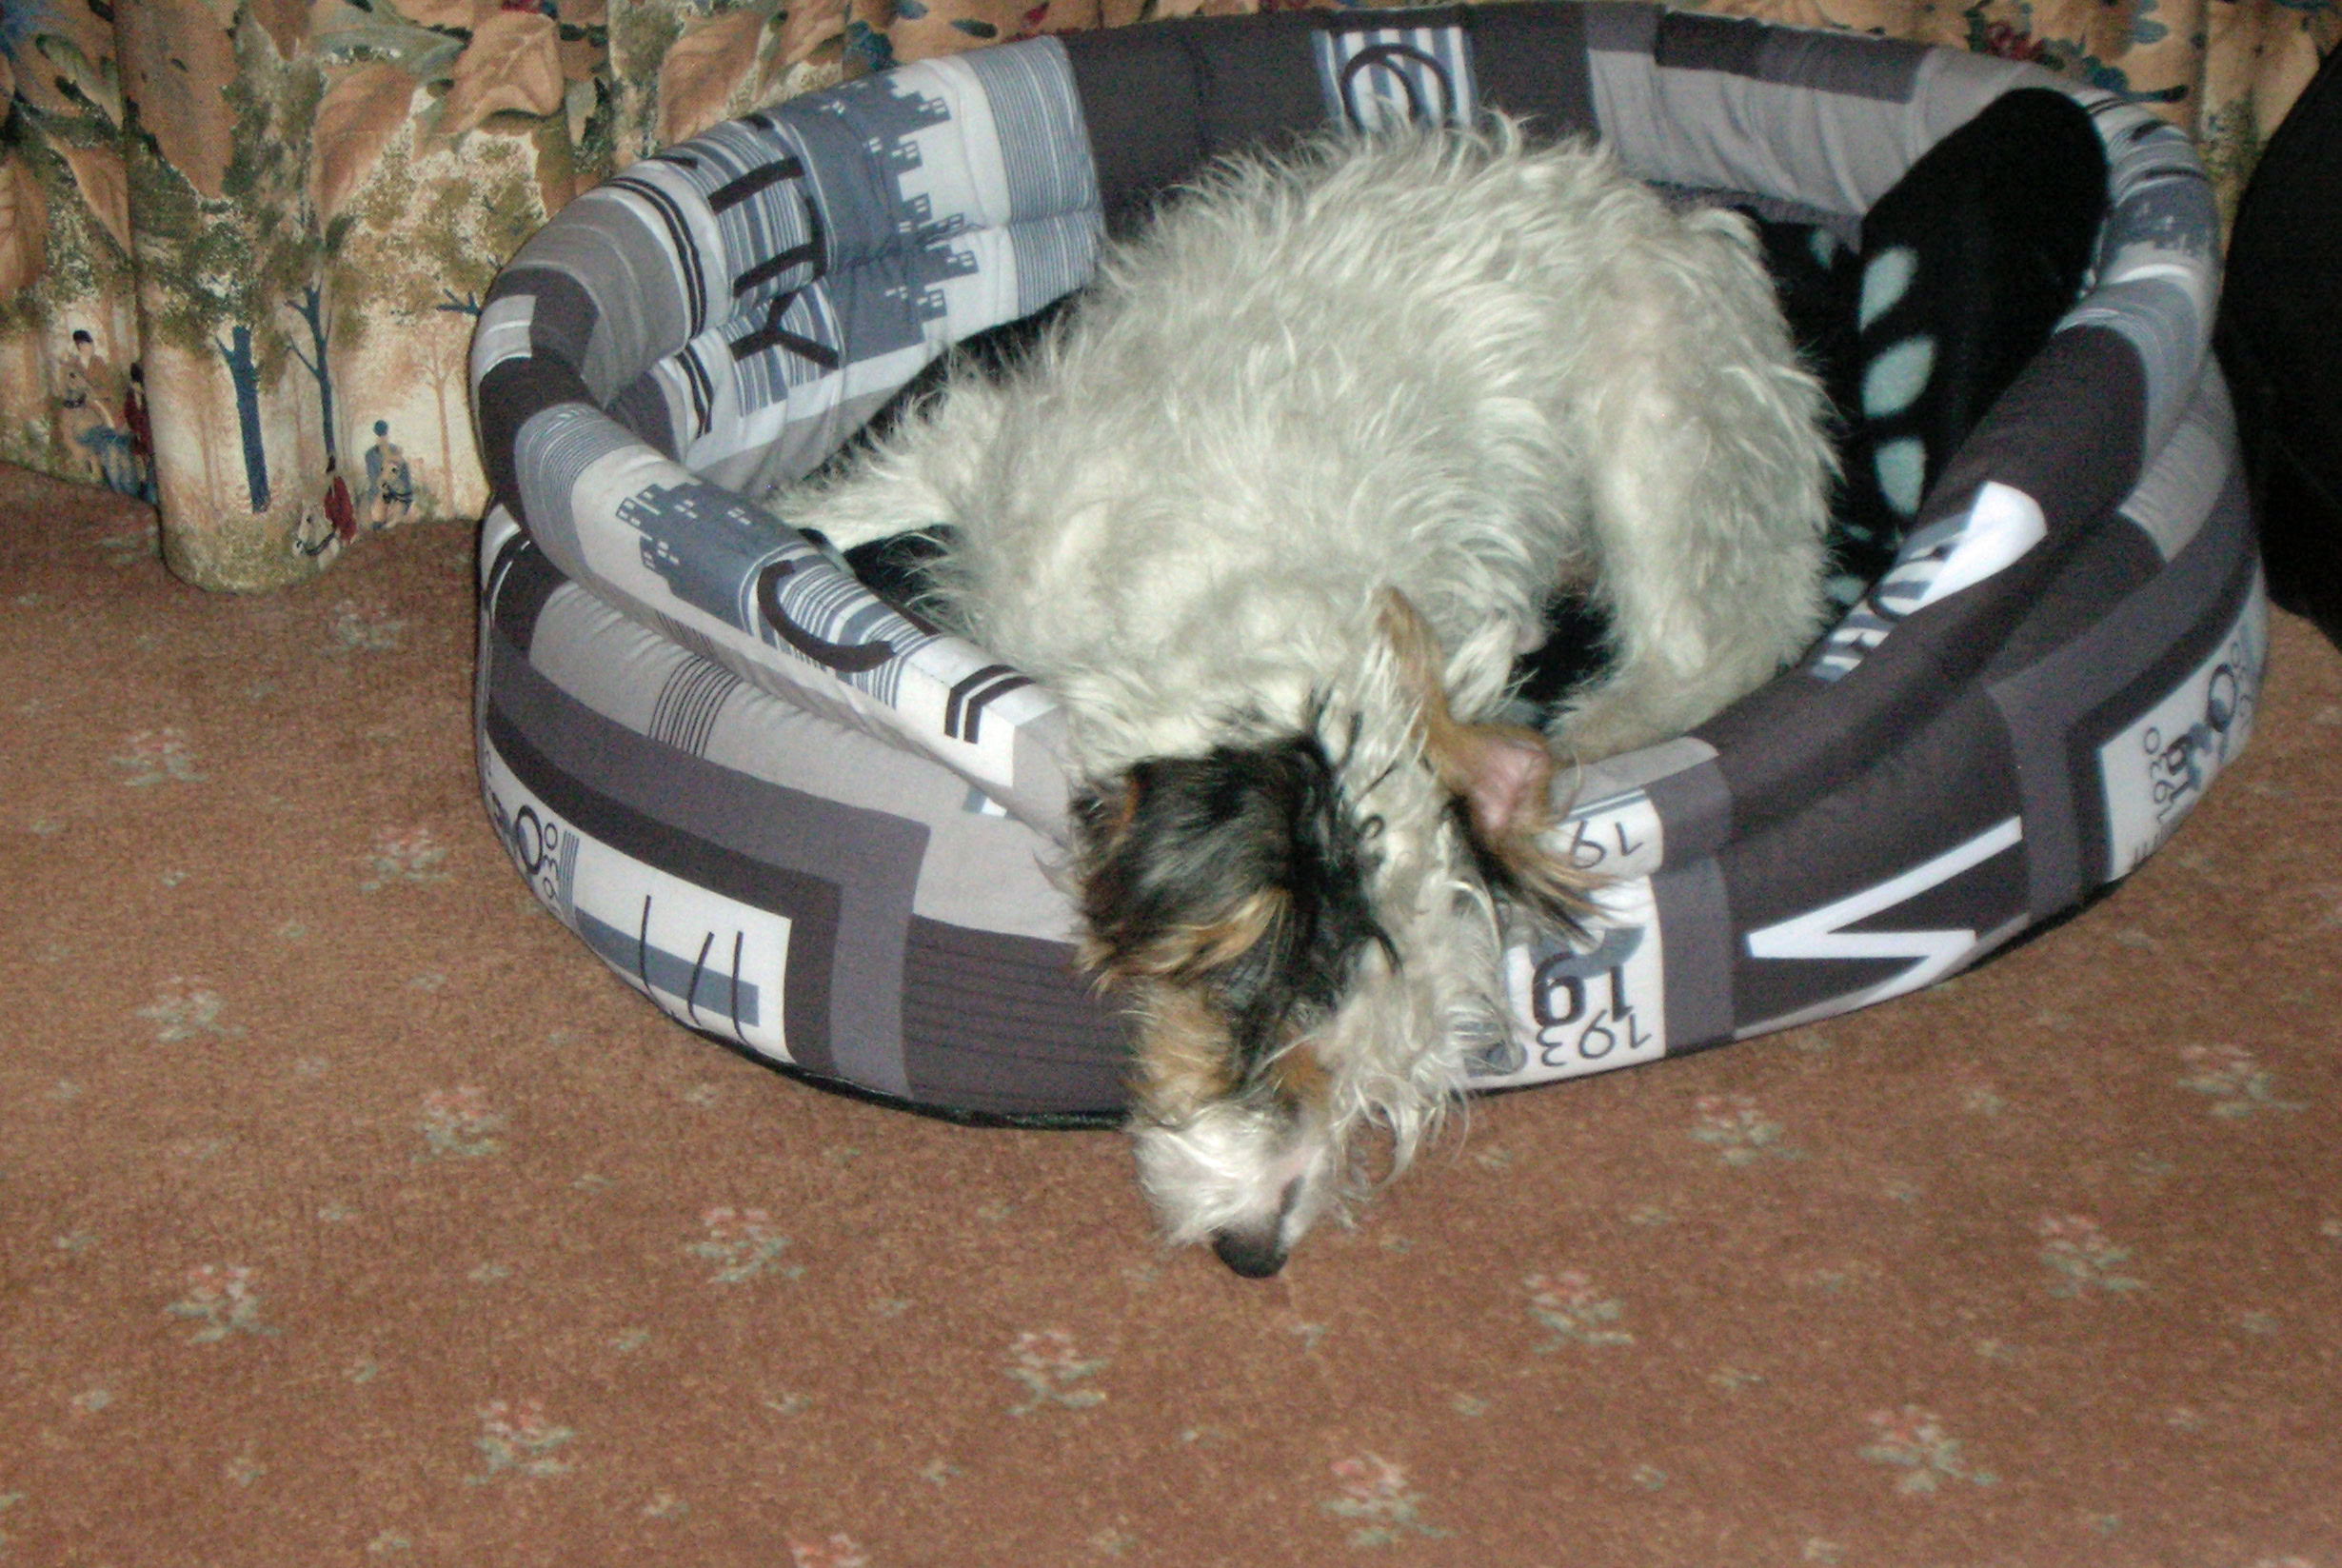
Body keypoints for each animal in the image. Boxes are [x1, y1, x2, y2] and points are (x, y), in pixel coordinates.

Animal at [783, 121, 1835, 1276]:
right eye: (1265, 1033)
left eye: (1369, 1089)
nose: (1257, 1252)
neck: (1241, 603)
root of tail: (1678, 222)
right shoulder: (982, 454)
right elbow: (842, 503)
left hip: (1659, 450)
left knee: (1708, 648)